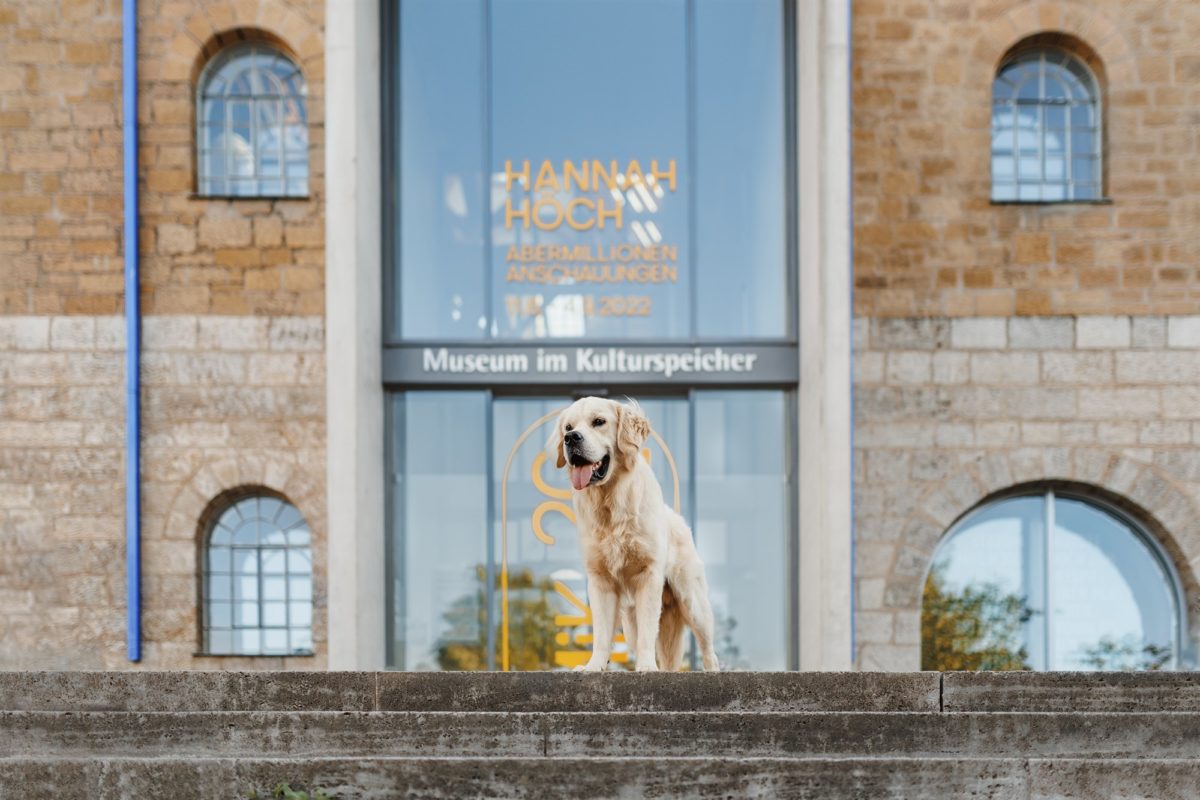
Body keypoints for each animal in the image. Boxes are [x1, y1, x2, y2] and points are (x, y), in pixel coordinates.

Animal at [549, 398, 715, 671]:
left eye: (599, 421)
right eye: (568, 427)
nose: (571, 439)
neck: (611, 502)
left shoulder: (648, 575)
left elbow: (648, 633)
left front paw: (647, 668)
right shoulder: (600, 580)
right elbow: (601, 633)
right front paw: (594, 666)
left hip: (693, 601)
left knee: (708, 648)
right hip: (630, 617)